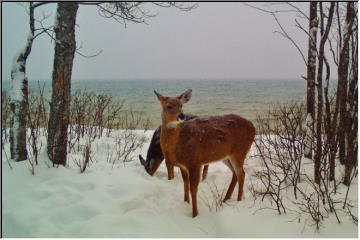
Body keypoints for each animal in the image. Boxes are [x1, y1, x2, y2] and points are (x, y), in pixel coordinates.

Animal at [154, 89, 256, 218]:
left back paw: (238, 201)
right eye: (169, 106)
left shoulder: (195, 162)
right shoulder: (183, 166)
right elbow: (185, 185)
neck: (177, 144)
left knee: (241, 173)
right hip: (226, 156)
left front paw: (194, 214)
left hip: (239, 151)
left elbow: (193, 188)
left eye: (181, 105)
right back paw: (225, 200)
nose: (181, 115)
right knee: (235, 173)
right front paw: (186, 203)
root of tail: (254, 127)